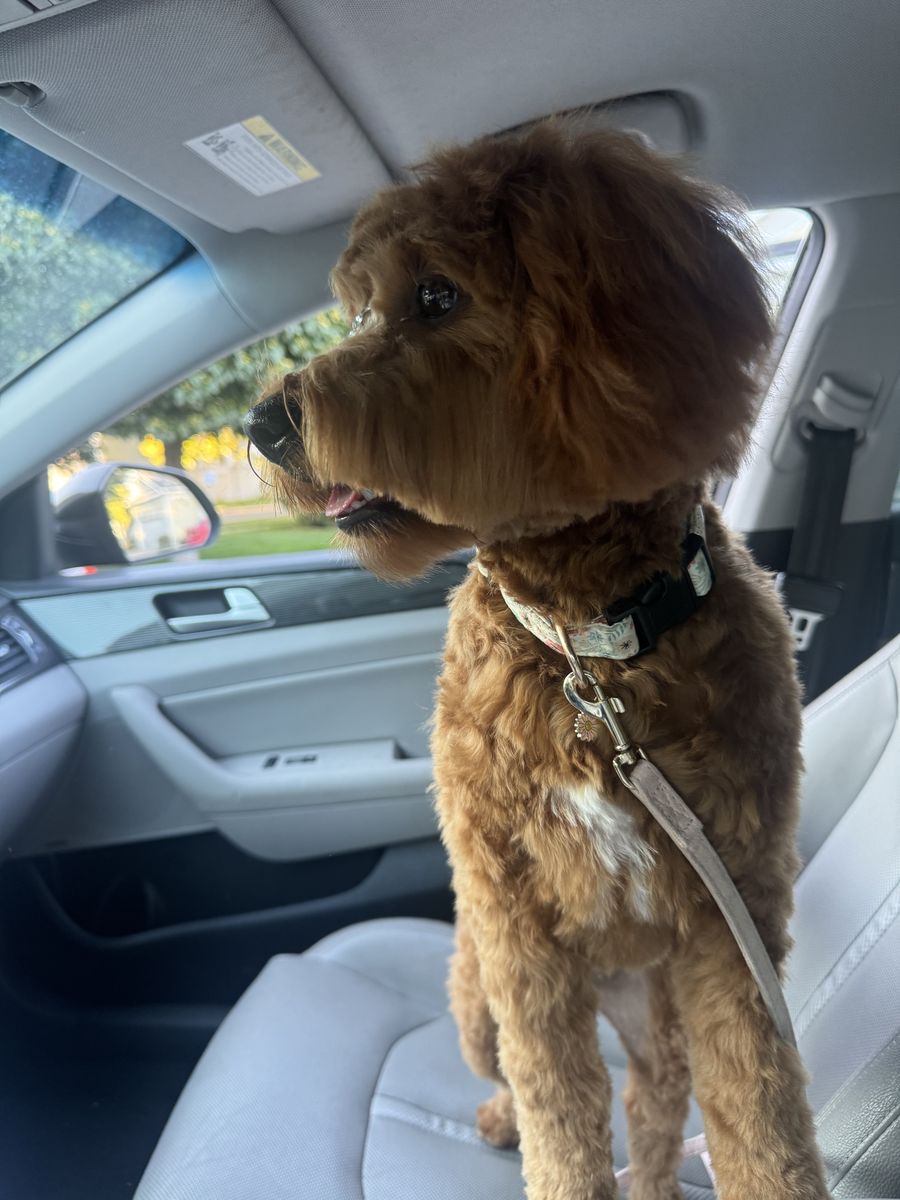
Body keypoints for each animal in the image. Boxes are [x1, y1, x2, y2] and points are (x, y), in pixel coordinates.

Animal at [245, 122, 829, 1200]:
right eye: (359, 310)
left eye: (437, 296)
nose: (262, 424)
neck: (588, 646)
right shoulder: (514, 920)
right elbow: (557, 1107)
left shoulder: (733, 922)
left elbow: (761, 1112)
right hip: (477, 991)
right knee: (522, 1078)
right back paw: (492, 1120)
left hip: (661, 1008)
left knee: (654, 1098)